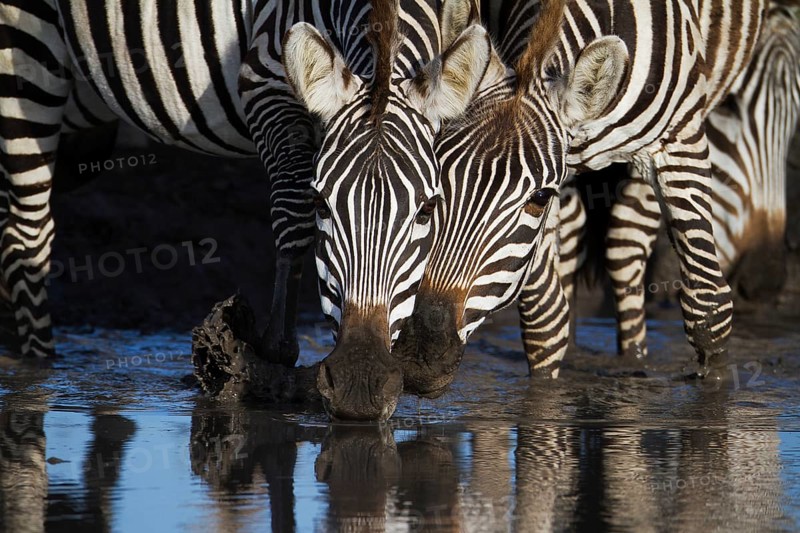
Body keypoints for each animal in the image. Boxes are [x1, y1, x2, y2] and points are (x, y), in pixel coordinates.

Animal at [0, 0, 491, 420]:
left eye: (428, 209)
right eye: (322, 203)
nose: (360, 386)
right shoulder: (266, 83)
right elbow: (292, 217)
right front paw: (274, 360)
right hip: (26, 53)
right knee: (27, 236)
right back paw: (38, 373)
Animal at [393, 0, 766, 397]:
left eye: (539, 197)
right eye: (435, 190)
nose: (419, 357)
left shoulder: (679, 139)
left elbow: (708, 305)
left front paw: (718, 392)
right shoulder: (562, 166)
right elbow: (544, 321)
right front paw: (544, 399)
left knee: (628, 239)